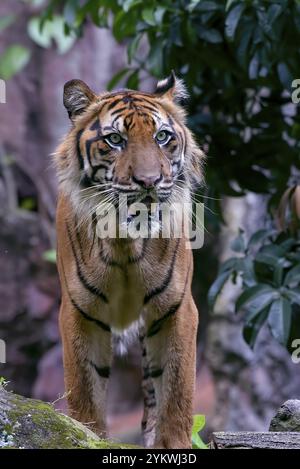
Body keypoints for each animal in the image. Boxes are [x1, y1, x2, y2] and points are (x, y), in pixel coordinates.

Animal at [54, 71, 205, 448]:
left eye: (162, 136)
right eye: (115, 139)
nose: (149, 183)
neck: (125, 243)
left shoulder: (177, 308)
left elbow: (177, 394)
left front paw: (172, 443)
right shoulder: (80, 312)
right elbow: (85, 393)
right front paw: (86, 436)